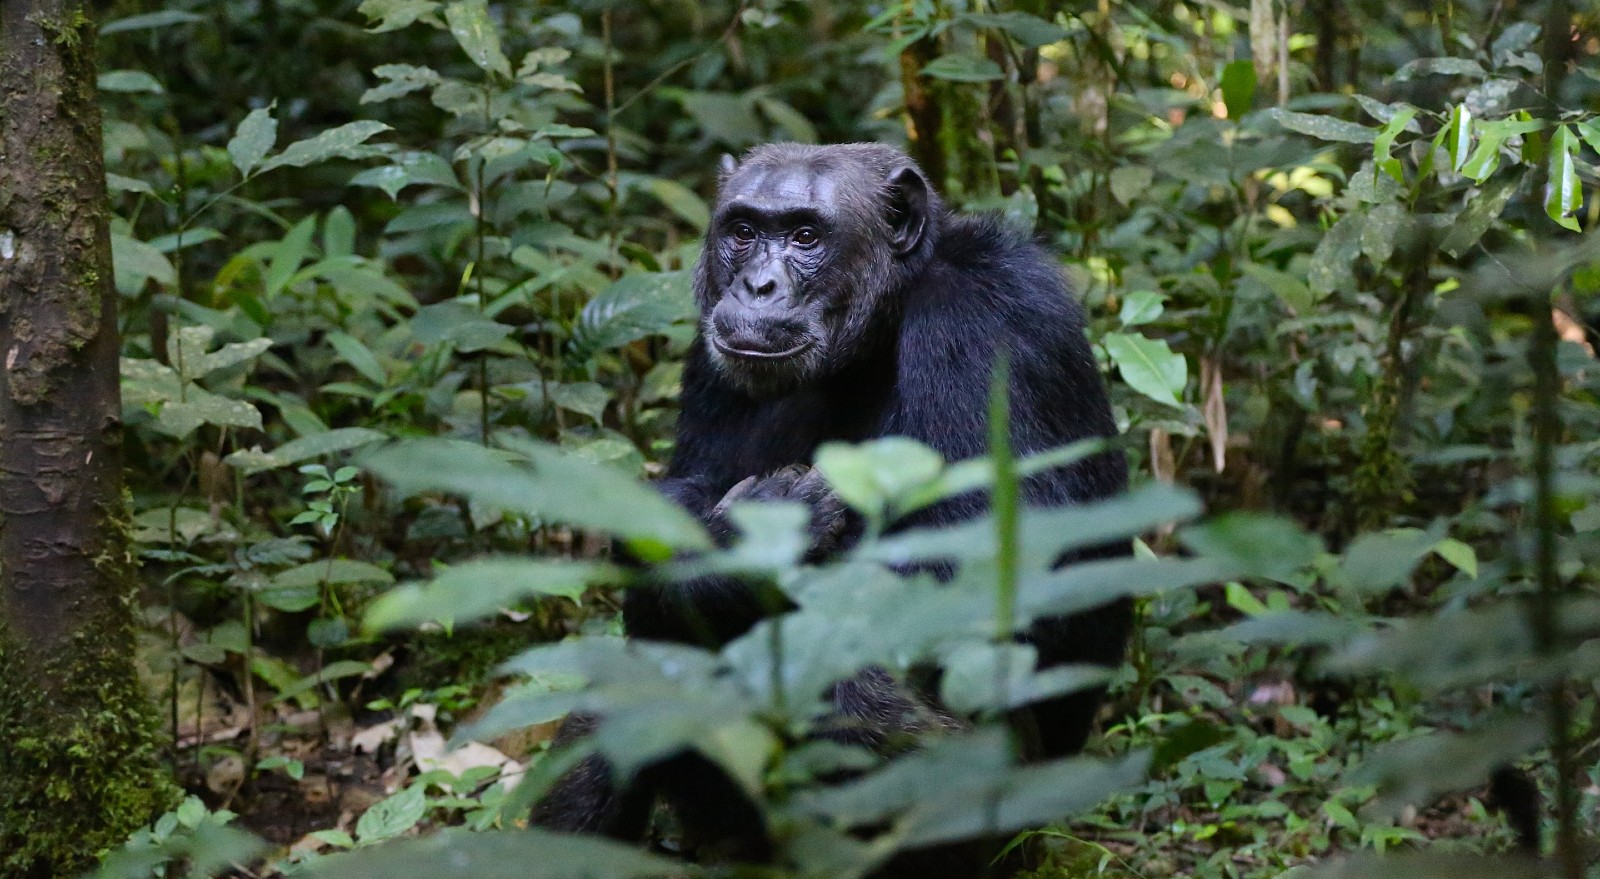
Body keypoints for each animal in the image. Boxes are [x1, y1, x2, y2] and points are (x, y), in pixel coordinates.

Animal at [534, 144, 1126, 870]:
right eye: (743, 231)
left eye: (806, 237)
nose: (757, 285)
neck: (878, 328)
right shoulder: (708, 355)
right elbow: (679, 505)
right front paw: (724, 546)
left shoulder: (991, 324)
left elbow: (999, 566)